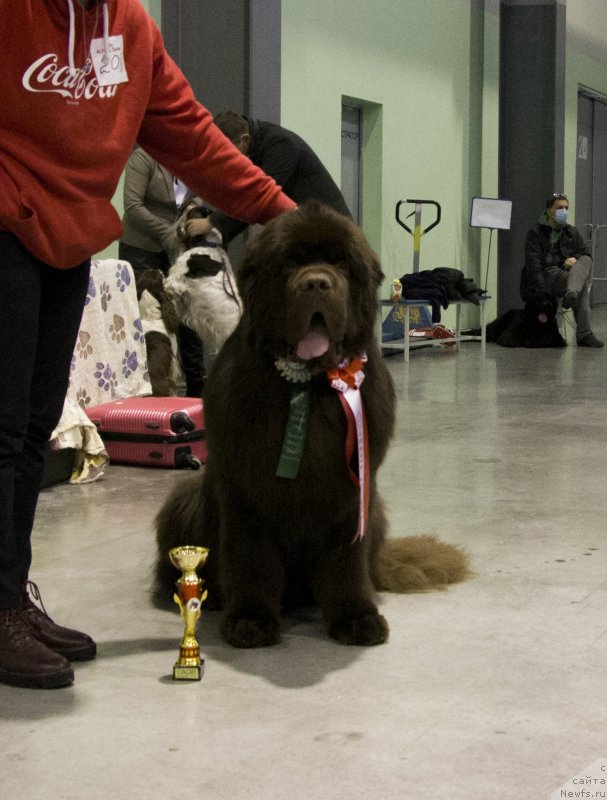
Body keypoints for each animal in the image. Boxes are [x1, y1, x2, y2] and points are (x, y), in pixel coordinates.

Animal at [153, 203, 470, 648]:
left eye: (341, 264)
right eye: (289, 263)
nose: (317, 283)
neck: (311, 385)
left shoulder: (352, 491)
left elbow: (345, 562)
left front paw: (355, 617)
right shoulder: (246, 489)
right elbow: (252, 557)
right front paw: (250, 620)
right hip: (183, 502)